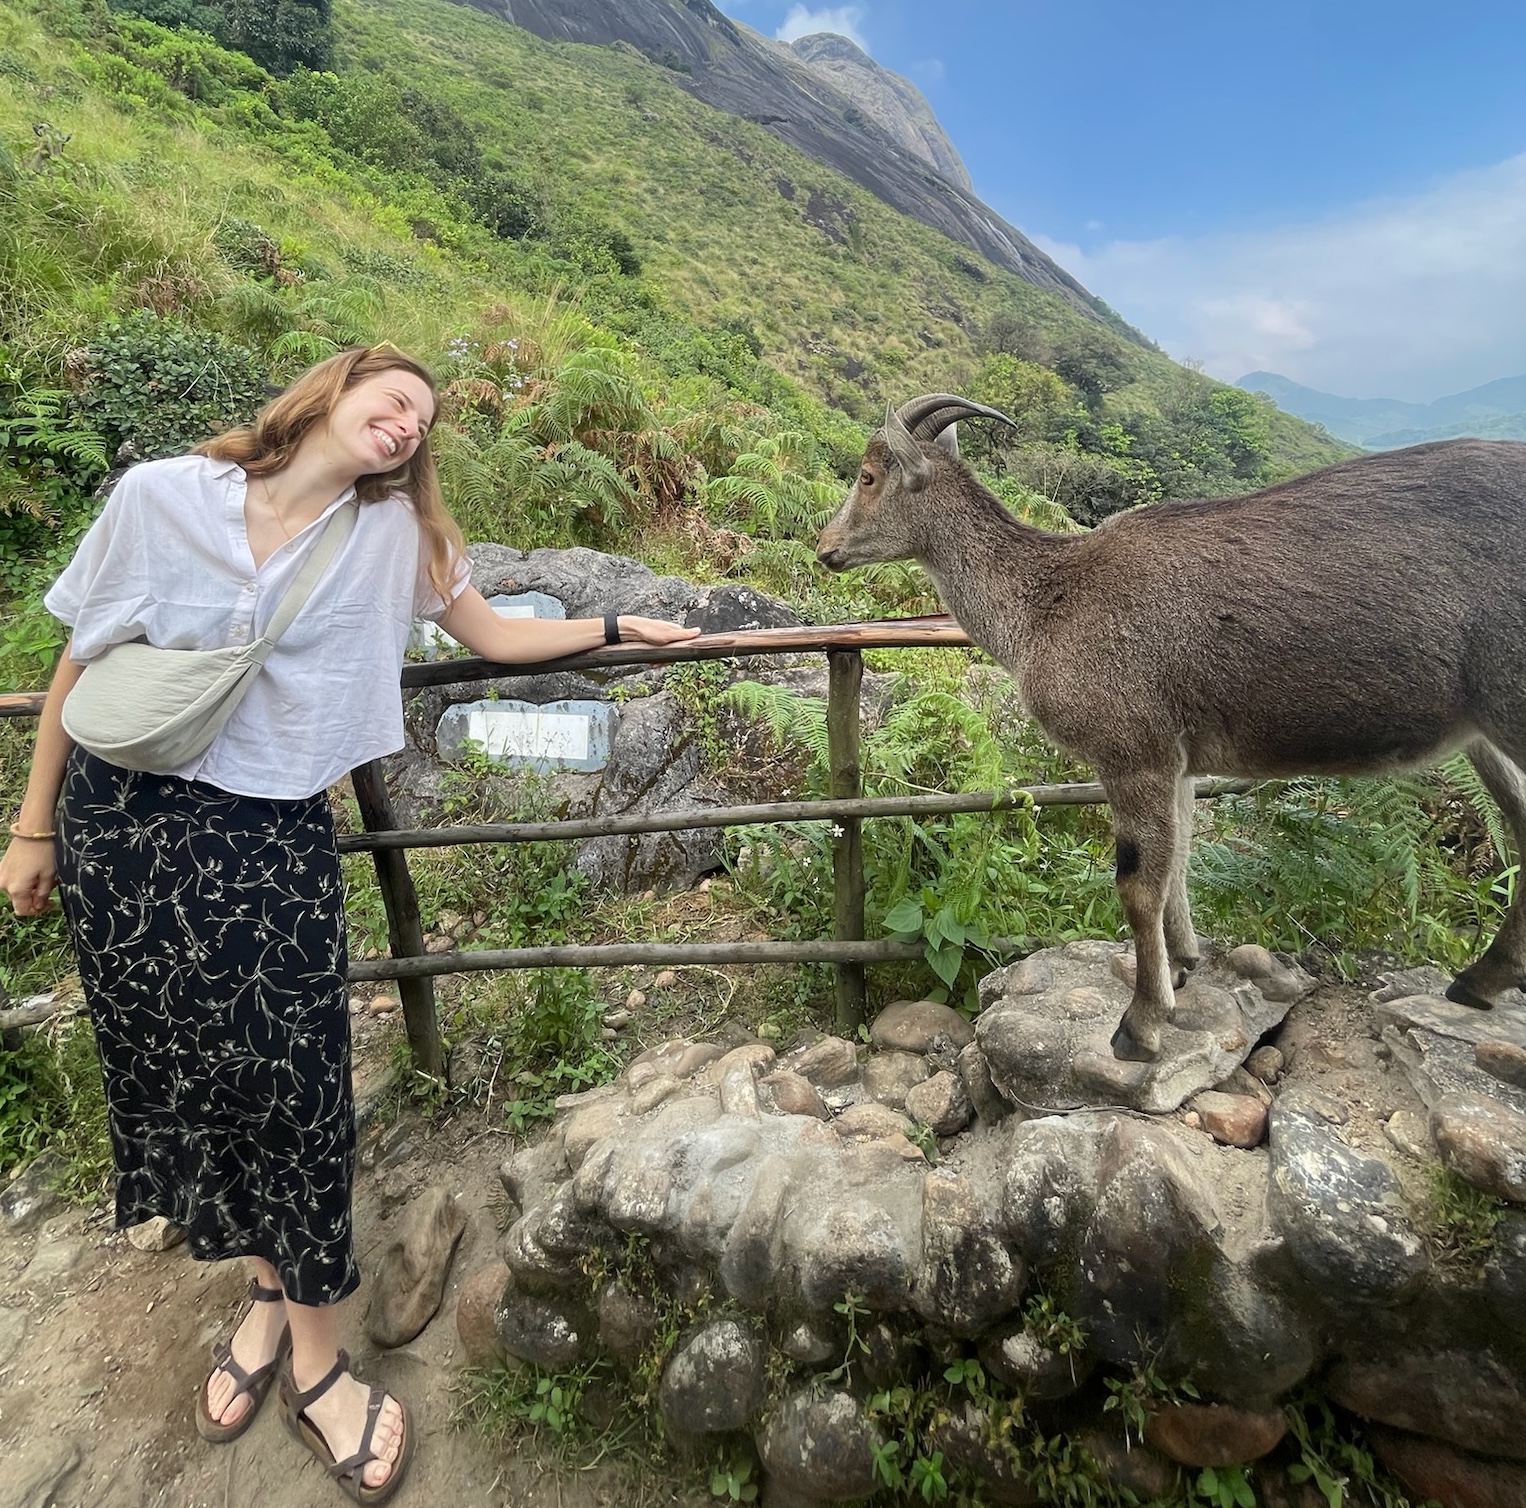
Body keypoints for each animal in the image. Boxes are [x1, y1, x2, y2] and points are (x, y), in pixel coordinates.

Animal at [817, 394, 1526, 1061]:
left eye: (869, 475)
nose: (827, 549)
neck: (1044, 604)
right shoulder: (1181, 758)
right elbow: (1180, 860)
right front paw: (1184, 965)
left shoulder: (1134, 751)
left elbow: (1139, 886)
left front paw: (1141, 1025)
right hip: (1486, 732)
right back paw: (1479, 981)